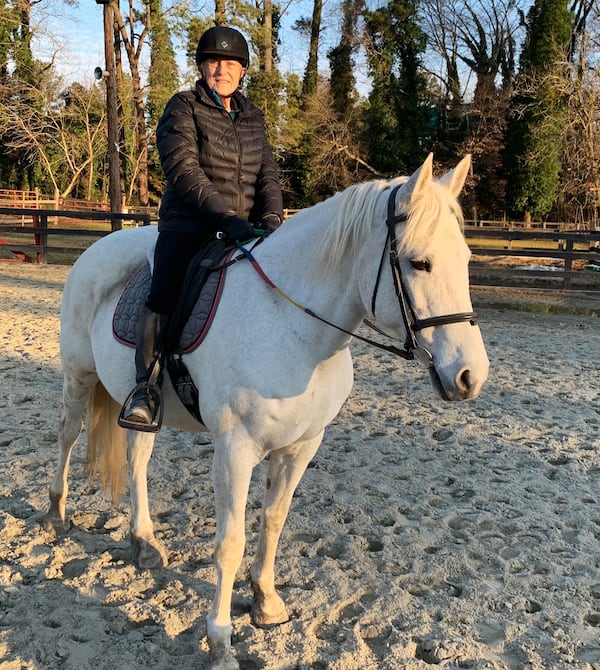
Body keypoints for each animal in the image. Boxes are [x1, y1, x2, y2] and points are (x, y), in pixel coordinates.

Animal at [45, 155, 488, 668]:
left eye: (466, 260)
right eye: (420, 262)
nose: (470, 376)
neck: (293, 326)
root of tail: (98, 246)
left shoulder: (301, 445)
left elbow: (273, 521)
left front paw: (266, 602)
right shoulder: (234, 451)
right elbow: (230, 542)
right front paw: (220, 641)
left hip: (139, 403)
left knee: (136, 459)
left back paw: (144, 541)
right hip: (78, 375)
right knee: (66, 434)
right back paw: (55, 512)